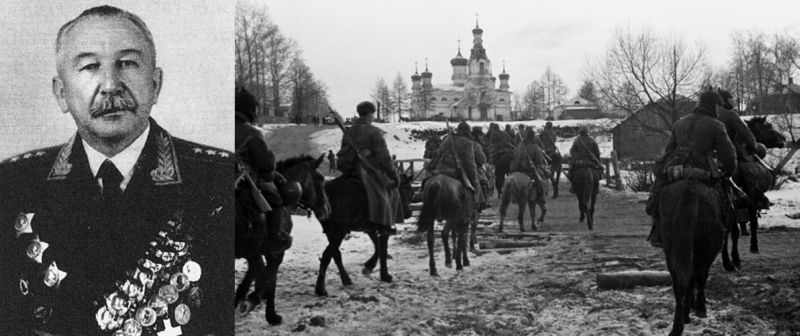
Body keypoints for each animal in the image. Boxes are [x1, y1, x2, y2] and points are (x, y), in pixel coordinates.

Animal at [234, 154, 332, 324]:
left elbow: (255, 272)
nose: (327, 209)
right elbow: (269, 279)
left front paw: (246, 297)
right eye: (320, 178)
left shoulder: (255, 251)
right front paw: (271, 315)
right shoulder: (275, 252)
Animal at [656, 181, 724, 336]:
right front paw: (700, 306)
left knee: (679, 282)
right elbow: (700, 277)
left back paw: (677, 326)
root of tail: (689, 193)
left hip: (671, 249)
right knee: (697, 276)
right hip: (705, 249)